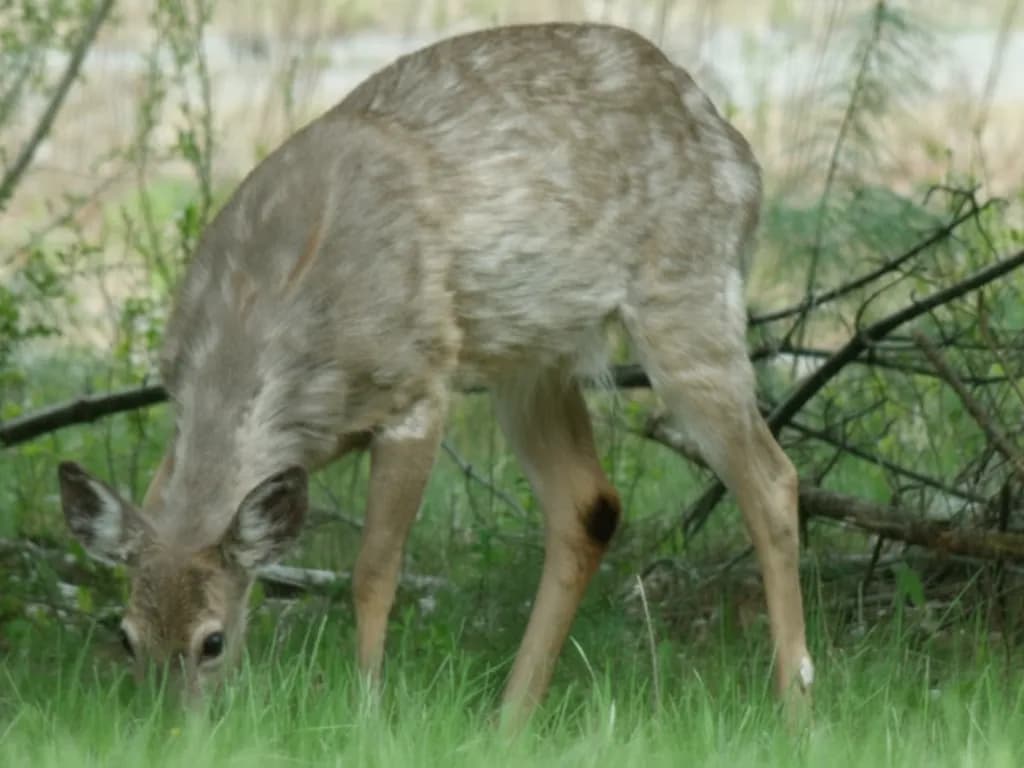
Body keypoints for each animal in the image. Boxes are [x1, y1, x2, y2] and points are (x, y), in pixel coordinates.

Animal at [57, 21, 814, 724]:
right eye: (127, 637)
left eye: (213, 642)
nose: (166, 725)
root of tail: (740, 152)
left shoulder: (416, 387)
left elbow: (373, 571)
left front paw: (365, 709)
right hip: (530, 359)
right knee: (590, 504)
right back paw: (510, 718)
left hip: (686, 294)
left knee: (771, 478)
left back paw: (794, 704)